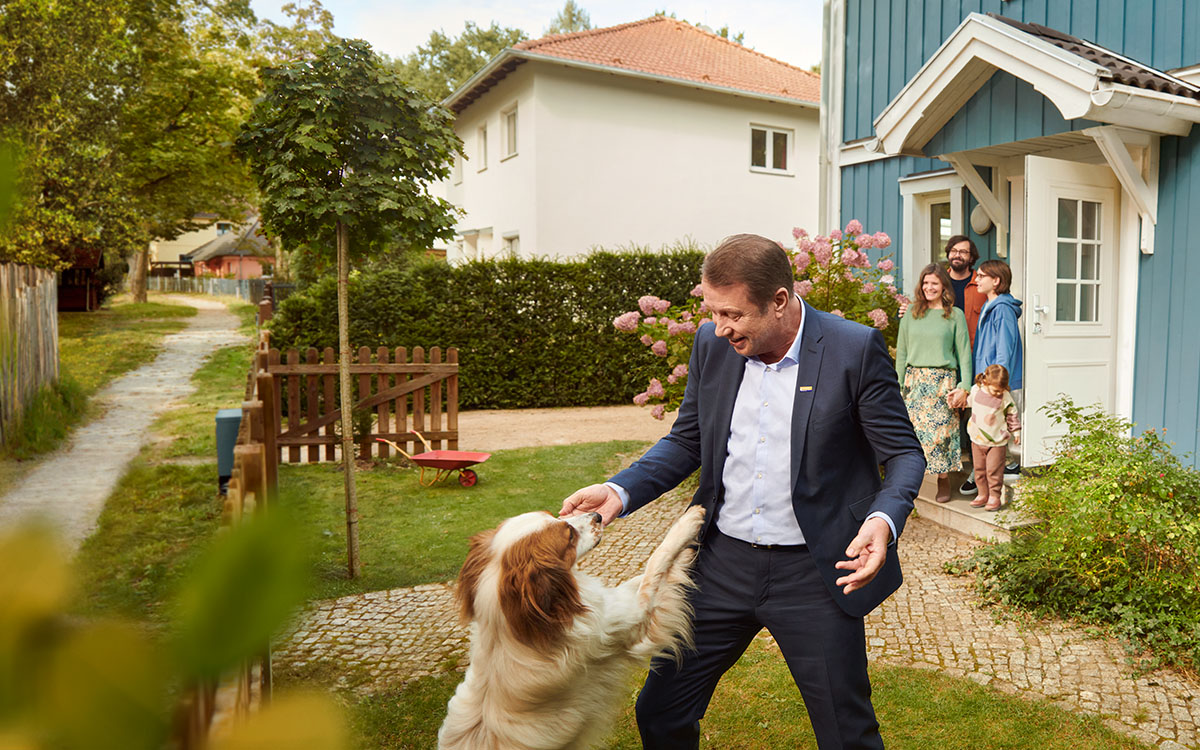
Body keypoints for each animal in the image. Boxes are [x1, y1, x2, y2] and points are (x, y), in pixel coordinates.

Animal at [439, 504, 700, 748]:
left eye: (554, 515)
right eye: (569, 535)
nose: (597, 515)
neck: (508, 628)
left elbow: (644, 575)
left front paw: (685, 555)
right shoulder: (629, 620)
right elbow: (655, 563)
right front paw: (690, 523)